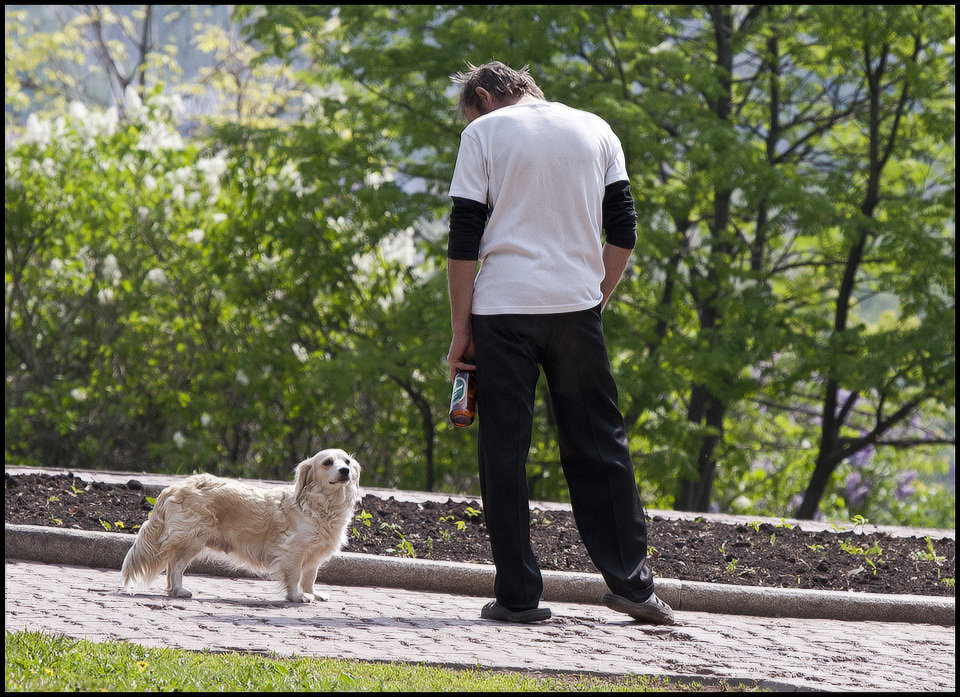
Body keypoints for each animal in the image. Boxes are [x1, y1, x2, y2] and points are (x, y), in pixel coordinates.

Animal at [120, 448, 360, 600]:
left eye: (347, 461)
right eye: (327, 462)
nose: (345, 471)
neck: (321, 505)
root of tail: (173, 488)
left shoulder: (313, 555)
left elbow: (310, 577)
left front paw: (313, 593)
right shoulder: (294, 551)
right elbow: (295, 576)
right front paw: (297, 597)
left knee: (172, 566)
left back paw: (175, 591)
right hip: (192, 540)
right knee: (176, 566)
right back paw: (180, 591)